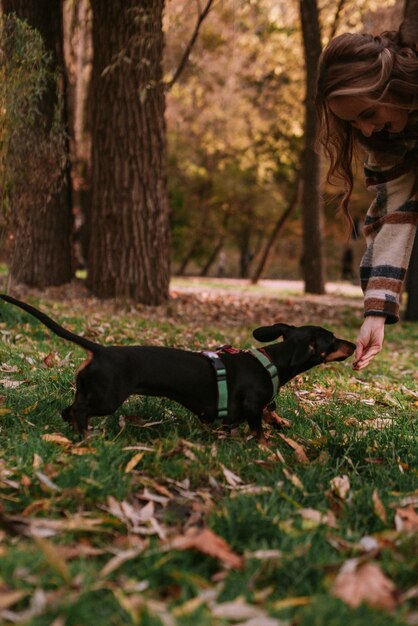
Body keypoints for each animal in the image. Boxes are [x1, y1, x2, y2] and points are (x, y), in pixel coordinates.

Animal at [0, 294, 354, 436]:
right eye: (333, 340)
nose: (352, 345)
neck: (271, 362)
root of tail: (100, 350)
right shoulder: (253, 404)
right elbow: (259, 426)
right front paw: (266, 445)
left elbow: (270, 411)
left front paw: (281, 422)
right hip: (106, 399)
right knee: (79, 411)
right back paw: (87, 437)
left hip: (88, 389)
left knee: (69, 411)